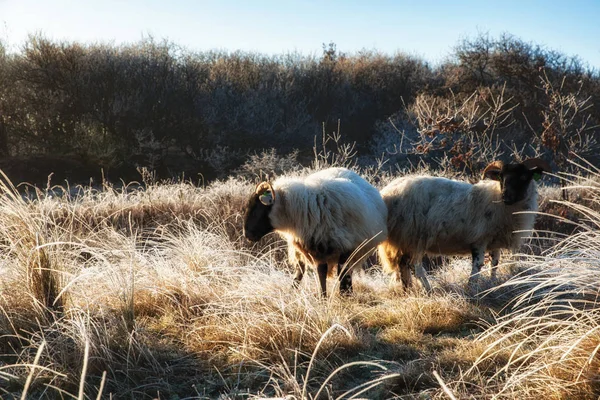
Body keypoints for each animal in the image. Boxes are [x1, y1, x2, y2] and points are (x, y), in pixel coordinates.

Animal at [245, 166, 390, 296]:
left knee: (345, 272)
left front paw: (336, 296)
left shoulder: (344, 246)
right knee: (300, 271)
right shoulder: (312, 248)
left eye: (256, 210)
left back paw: (346, 293)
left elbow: (338, 273)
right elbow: (319, 272)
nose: (247, 235)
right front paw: (323, 297)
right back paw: (292, 291)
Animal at [380, 157, 552, 290]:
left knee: (403, 264)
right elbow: (478, 266)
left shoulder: (494, 241)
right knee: (414, 267)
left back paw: (408, 290)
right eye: (501, 178)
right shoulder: (479, 240)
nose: (506, 196)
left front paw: (493, 284)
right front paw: (472, 288)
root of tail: (387, 192)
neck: (496, 200)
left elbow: (495, 264)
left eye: (524, 177)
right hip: (415, 236)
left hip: (406, 239)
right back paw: (428, 290)